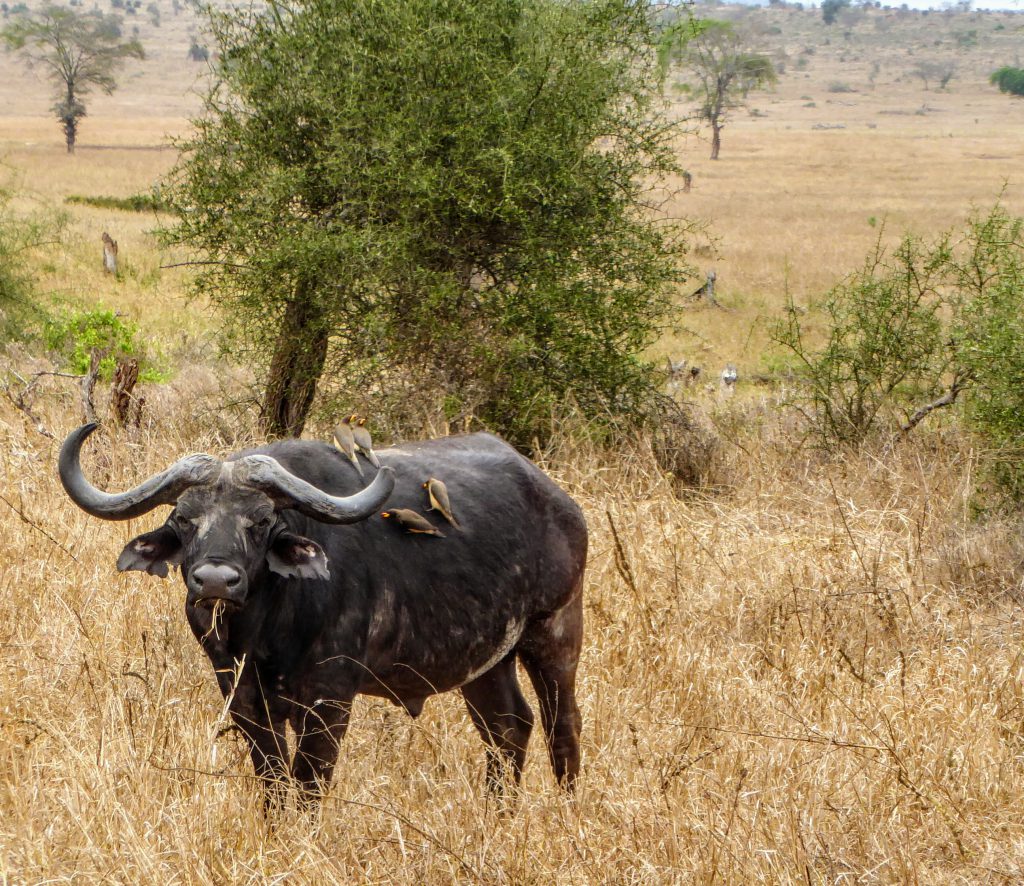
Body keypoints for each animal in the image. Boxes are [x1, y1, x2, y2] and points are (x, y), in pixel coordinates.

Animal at [59, 426, 589, 807]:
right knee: (508, 727)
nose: (214, 581)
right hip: (486, 662)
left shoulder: (329, 700)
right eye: (185, 519)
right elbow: (273, 778)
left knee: (561, 724)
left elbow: (309, 781)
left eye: (262, 521)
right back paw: (497, 812)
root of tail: (561, 503)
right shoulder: (243, 697)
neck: (265, 630)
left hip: (556, 633)